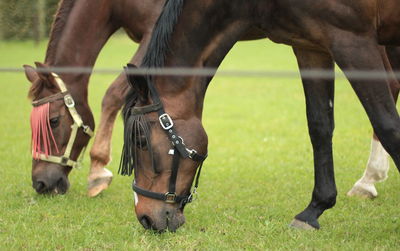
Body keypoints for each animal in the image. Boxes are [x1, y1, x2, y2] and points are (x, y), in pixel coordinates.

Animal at [24, 0, 165, 195]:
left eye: (53, 121)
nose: (40, 183)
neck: (114, 5)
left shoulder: (154, 32)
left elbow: (113, 94)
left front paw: (97, 172)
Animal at [120, 0, 400, 231]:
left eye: (141, 141)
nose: (145, 218)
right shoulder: (311, 47)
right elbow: (319, 125)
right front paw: (314, 210)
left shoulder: (352, 41)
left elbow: (387, 125)